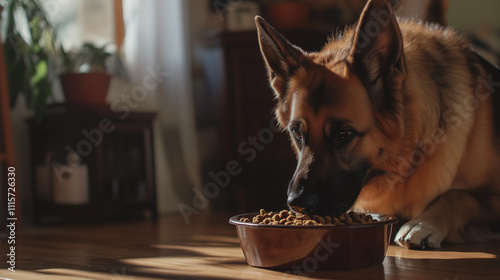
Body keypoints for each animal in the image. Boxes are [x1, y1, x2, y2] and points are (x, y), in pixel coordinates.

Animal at [256, 0, 500, 248]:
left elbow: (458, 196)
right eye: (297, 133)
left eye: (344, 134)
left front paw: (423, 224)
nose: (296, 204)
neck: (409, 161)